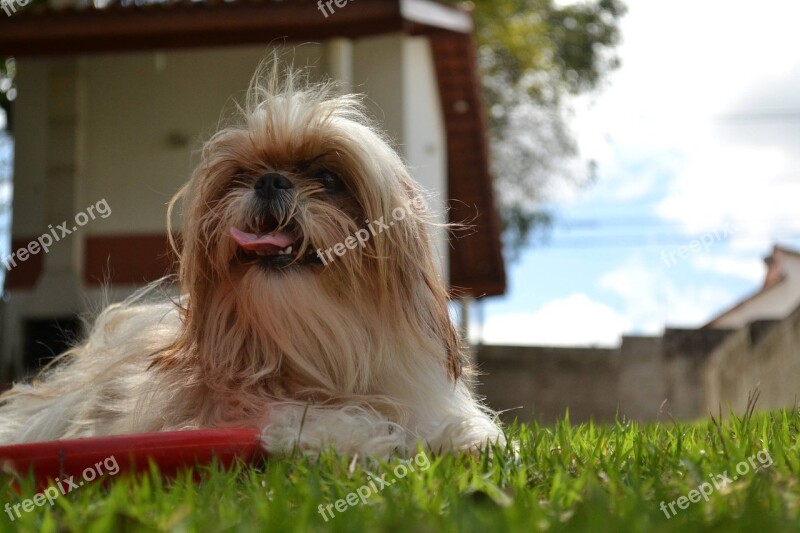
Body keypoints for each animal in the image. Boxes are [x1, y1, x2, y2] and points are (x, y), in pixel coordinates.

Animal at [0, 61, 500, 454]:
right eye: (242, 174)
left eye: (328, 178)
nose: (270, 180)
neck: (314, 352)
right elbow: (309, 418)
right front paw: (362, 434)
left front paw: (461, 438)